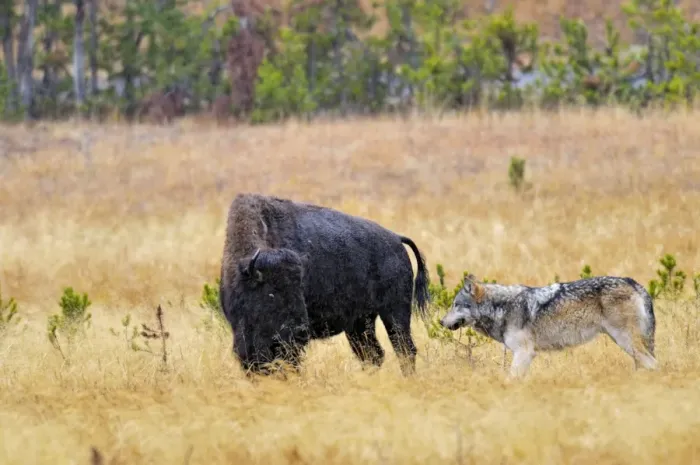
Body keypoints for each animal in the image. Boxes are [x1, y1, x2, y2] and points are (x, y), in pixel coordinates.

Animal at [219, 193, 431, 377]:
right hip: (360, 324)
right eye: (272, 293)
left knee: (404, 349)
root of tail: (396, 239)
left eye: (300, 288)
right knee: (373, 354)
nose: (301, 331)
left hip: (394, 313)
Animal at [439, 274, 657, 378]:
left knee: (654, 364)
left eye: (456, 305)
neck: (502, 307)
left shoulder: (524, 353)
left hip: (626, 341)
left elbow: (511, 378)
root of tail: (634, 283)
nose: (441, 321)